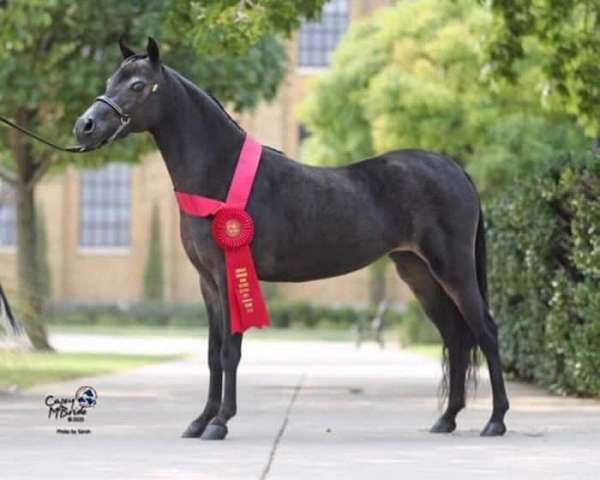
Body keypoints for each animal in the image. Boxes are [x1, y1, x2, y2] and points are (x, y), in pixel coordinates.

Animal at [72, 39, 508, 440]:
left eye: (138, 85)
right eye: (110, 81)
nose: (84, 126)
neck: (220, 173)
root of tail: (455, 168)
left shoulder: (228, 275)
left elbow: (230, 351)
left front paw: (219, 422)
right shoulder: (208, 283)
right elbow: (213, 353)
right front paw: (199, 421)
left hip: (454, 271)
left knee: (485, 331)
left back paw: (495, 421)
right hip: (418, 274)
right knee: (455, 338)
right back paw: (446, 419)